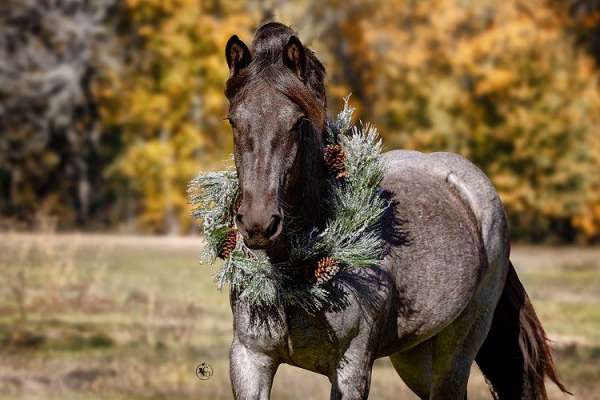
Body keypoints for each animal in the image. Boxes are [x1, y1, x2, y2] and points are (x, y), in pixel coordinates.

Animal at [220, 22, 568, 400]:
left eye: (297, 122)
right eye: (233, 120)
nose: (258, 223)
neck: (295, 274)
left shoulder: (352, 368)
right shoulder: (250, 359)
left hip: (459, 346)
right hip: (415, 357)